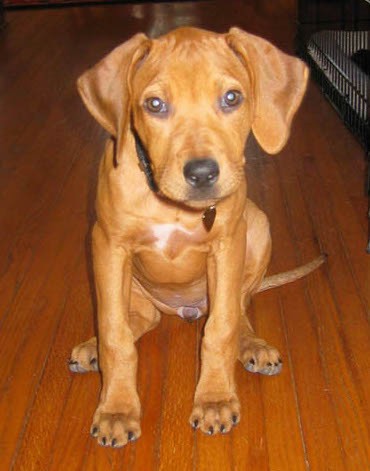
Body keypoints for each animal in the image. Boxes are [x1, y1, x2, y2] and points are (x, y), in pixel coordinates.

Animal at [70, 26, 312, 450]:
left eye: (232, 98)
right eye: (154, 104)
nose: (201, 174)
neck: (172, 206)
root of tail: (185, 310)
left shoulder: (227, 245)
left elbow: (221, 328)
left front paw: (214, 399)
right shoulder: (108, 244)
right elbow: (115, 333)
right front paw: (116, 409)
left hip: (257, 225)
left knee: (238, 310)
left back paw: (253, 345)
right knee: (138, 319)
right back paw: (92, 347)